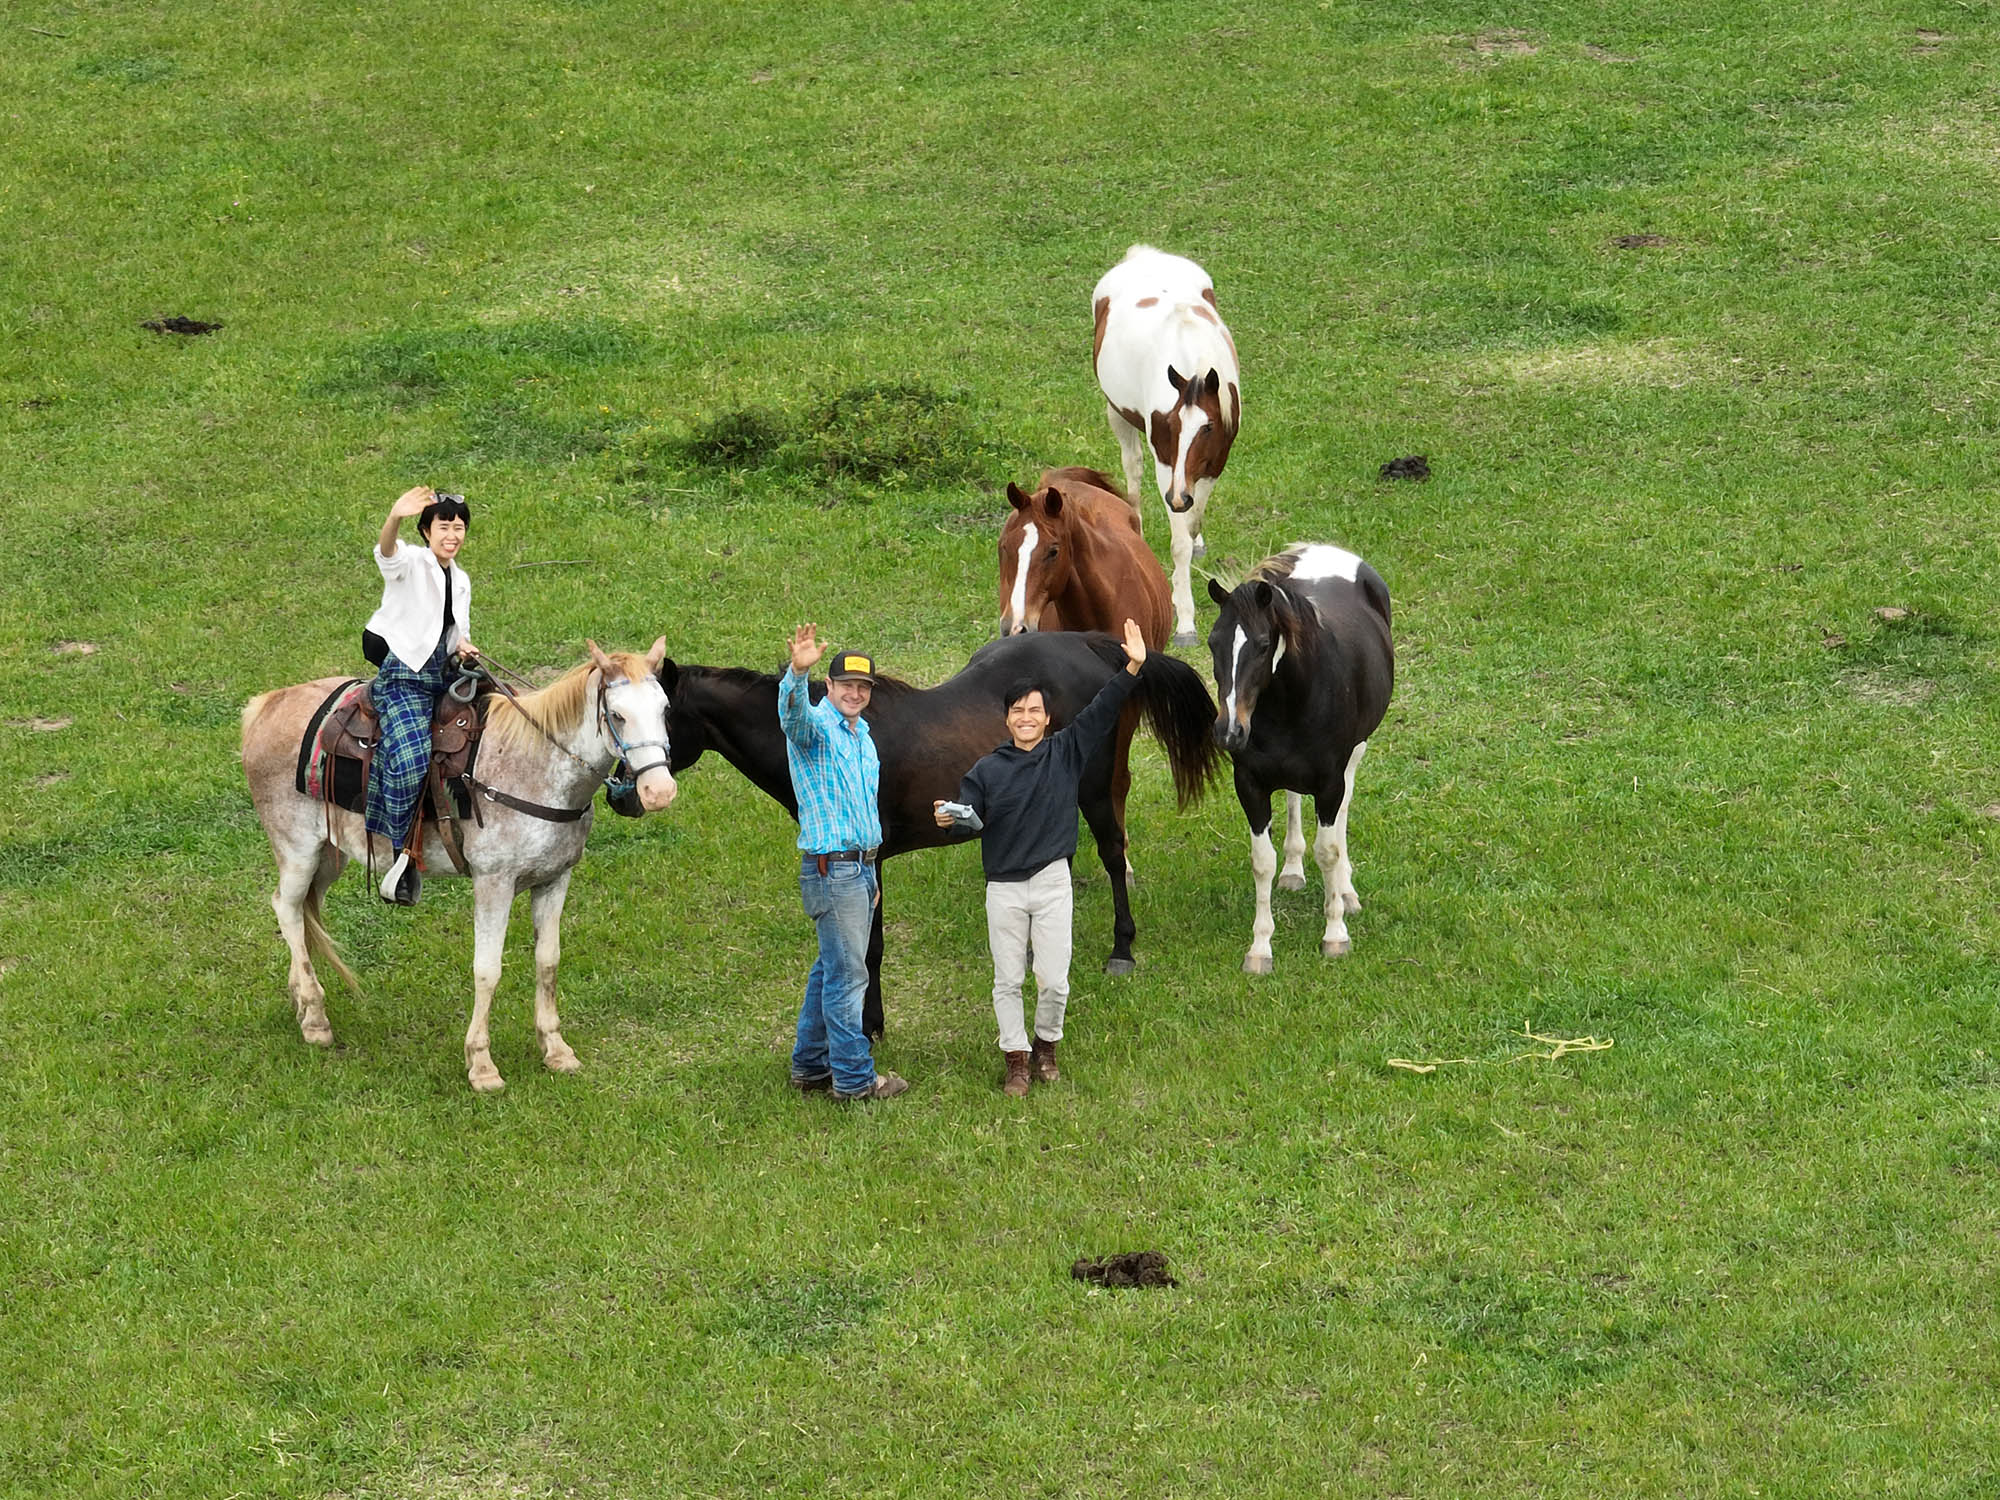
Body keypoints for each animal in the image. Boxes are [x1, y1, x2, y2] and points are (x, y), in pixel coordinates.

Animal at [660, 628, 1216, 1040]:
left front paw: (872, 1024)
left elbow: (870, 945)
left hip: (1095, 787)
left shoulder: (871, 859)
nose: (638, 794)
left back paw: (1122, 949)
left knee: (1112, 853)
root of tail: (1093, 645)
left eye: (661, 712)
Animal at [1096, 244, 1232, 644]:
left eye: (1209, 427)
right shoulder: (1167, 467)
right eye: (1169, 425)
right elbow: (1179, 540)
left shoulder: (1214, 462)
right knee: (1132, 468)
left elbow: (1194, 519)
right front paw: (1185, 620)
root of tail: (1144, 255)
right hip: (1117, 415)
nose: (1177, 498)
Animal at [1208, 548, 1400, 980]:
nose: (1229, 732)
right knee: (1294, 798)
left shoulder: (1330, 783)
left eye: (1263, 644)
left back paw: (1346, 891)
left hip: (1356, 752)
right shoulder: (1250, 785)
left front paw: (1335, 934)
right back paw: (1294, 871)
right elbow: (1262, 862)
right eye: (1213, 643)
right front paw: (1260, 948)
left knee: (1343, 813)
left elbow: (1327, 850)